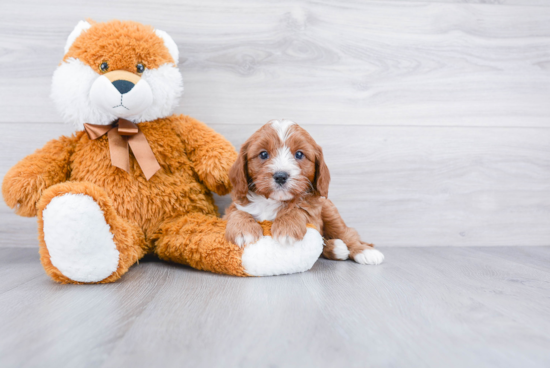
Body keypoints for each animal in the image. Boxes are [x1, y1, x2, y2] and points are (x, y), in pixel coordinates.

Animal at [224, 118, 384, 264]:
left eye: (299, 154)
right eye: (263, 154)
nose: (281, 176)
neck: (273, 201)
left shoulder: (314, 214)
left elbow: (299, 209)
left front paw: (287, 227)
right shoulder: (235, 205)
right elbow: (237, 211)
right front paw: (243, 230)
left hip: (330, 211)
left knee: (347, 233)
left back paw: (364, 251)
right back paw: (336, 248)